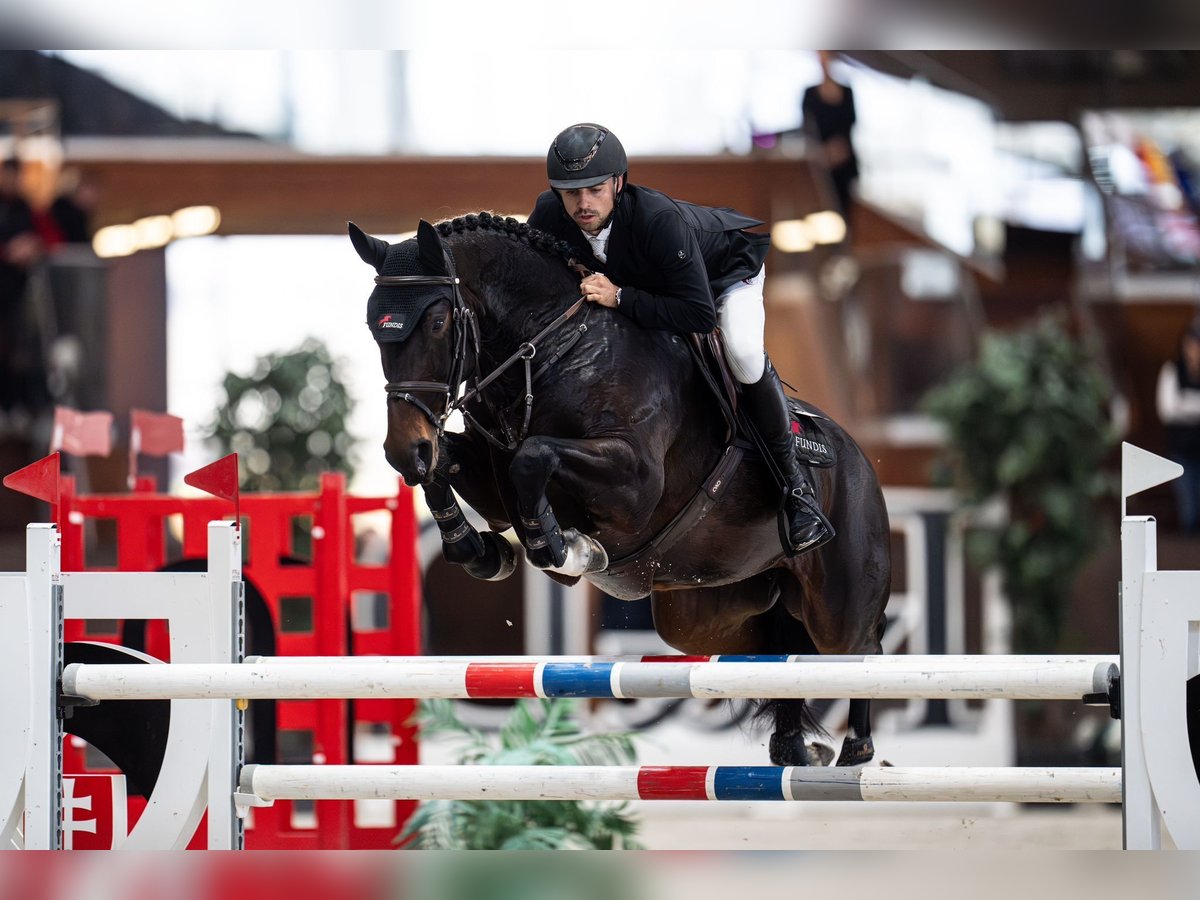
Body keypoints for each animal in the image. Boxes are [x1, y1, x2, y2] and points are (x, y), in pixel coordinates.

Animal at [348, 213, 892, 768]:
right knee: (775, 655)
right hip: (705, 613)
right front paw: (480, 550)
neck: (553, 350)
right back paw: (794, 747)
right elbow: (450, 471)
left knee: (861, 648)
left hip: (836, 603)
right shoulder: (491, 480)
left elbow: (533, 457)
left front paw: (563, 548)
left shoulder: (633, 485)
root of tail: (858, 458)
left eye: (437, 323)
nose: (402, 450)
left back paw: (856, 747)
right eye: (372, 327)